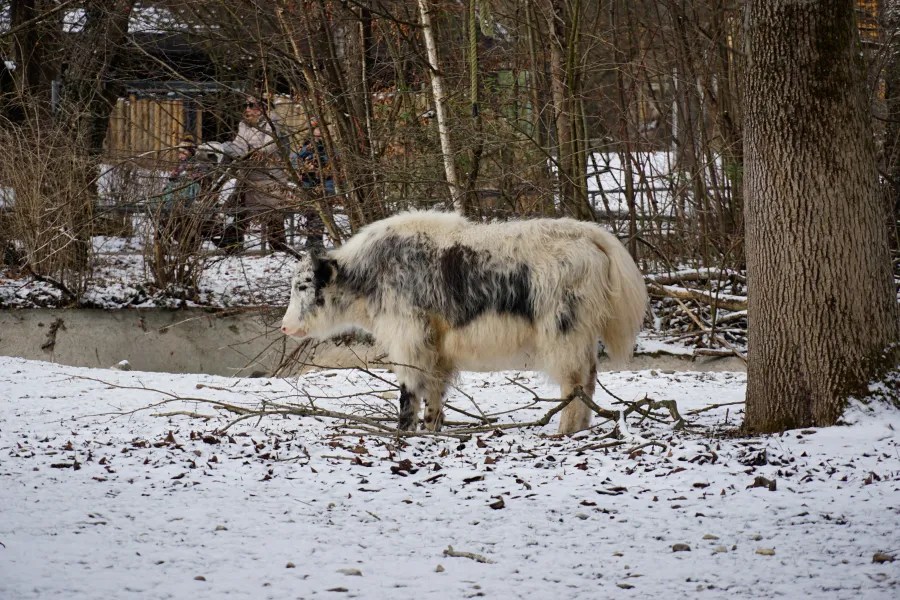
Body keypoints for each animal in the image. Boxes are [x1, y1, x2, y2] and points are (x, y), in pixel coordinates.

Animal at [280, 210, 648, 434]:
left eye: (304, 286)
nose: (285, 326)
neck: (372, 272)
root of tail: (590, 235)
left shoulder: (408, 340)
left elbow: (409, 391)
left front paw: (403, 431)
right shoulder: (437, 350)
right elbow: (435, 392)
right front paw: (431, 428)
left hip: (563, 334)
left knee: (574, 385)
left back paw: (564, 431)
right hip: (580, 337)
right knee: (589, 381)